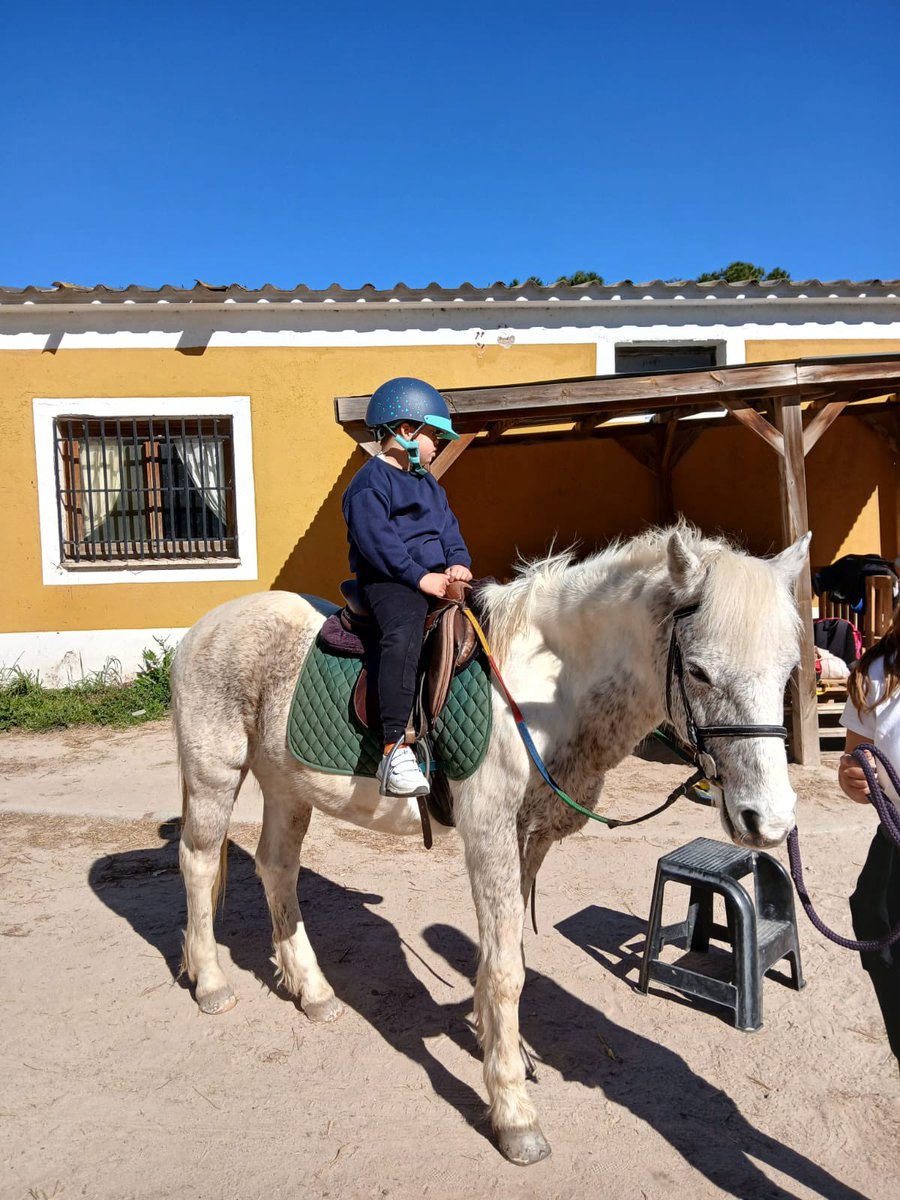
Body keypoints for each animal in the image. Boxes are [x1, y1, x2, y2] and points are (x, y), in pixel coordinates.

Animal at [171, 524, 810, 1165]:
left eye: (789, 670)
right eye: (699, 672)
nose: (769, 821)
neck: (545, 694)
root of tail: (203, 626)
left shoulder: (529, 839)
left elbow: (511, 954)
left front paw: (511, 1051)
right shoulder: (489, 832)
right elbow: (505, 970)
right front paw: (512, 1113)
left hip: (286, 785)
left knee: (277, 868)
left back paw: (313, 990)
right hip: (215, 774)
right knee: (198, 864)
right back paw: (212, 982)